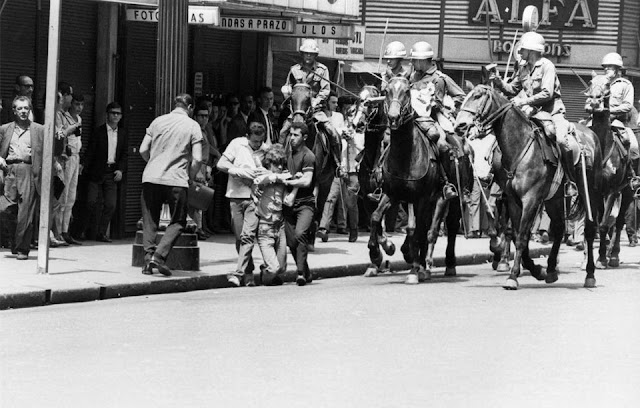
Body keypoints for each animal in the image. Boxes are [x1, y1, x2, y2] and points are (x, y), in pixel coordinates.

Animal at [364, 76, 456, 284]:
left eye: (406, 91)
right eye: (387, 91)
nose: (393, 117)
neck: (406, 155)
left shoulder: (421, 198)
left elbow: (418, 231)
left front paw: (414, 270)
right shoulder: (392, 194)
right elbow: (375, 217)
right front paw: (377, 253)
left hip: (446, 201)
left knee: (440, 229)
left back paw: (439, 265)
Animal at [458, 85, 604, 290]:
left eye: (477, 96)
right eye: (471, 150)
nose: (459, 125)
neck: (520, 149)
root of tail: (592, 135)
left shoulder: (531, 200)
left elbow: (521, 237)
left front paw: (513, 276)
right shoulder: (513, 200)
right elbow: (517, 233)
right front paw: (534, 269)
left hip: (590, 193)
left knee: (590, 230)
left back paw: (590, 273)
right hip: (553, 199)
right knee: (559, 228)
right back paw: (550, 270)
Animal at [584, 74, 636, 268]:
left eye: (607, 84)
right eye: (590, 83)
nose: (593, 102)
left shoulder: (613, 191)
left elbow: (605, 224)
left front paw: (601, 258)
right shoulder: (595, 191)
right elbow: (597, 223)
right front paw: (592, 257)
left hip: (628, 191)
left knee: (619, 222)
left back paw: (613, 255)